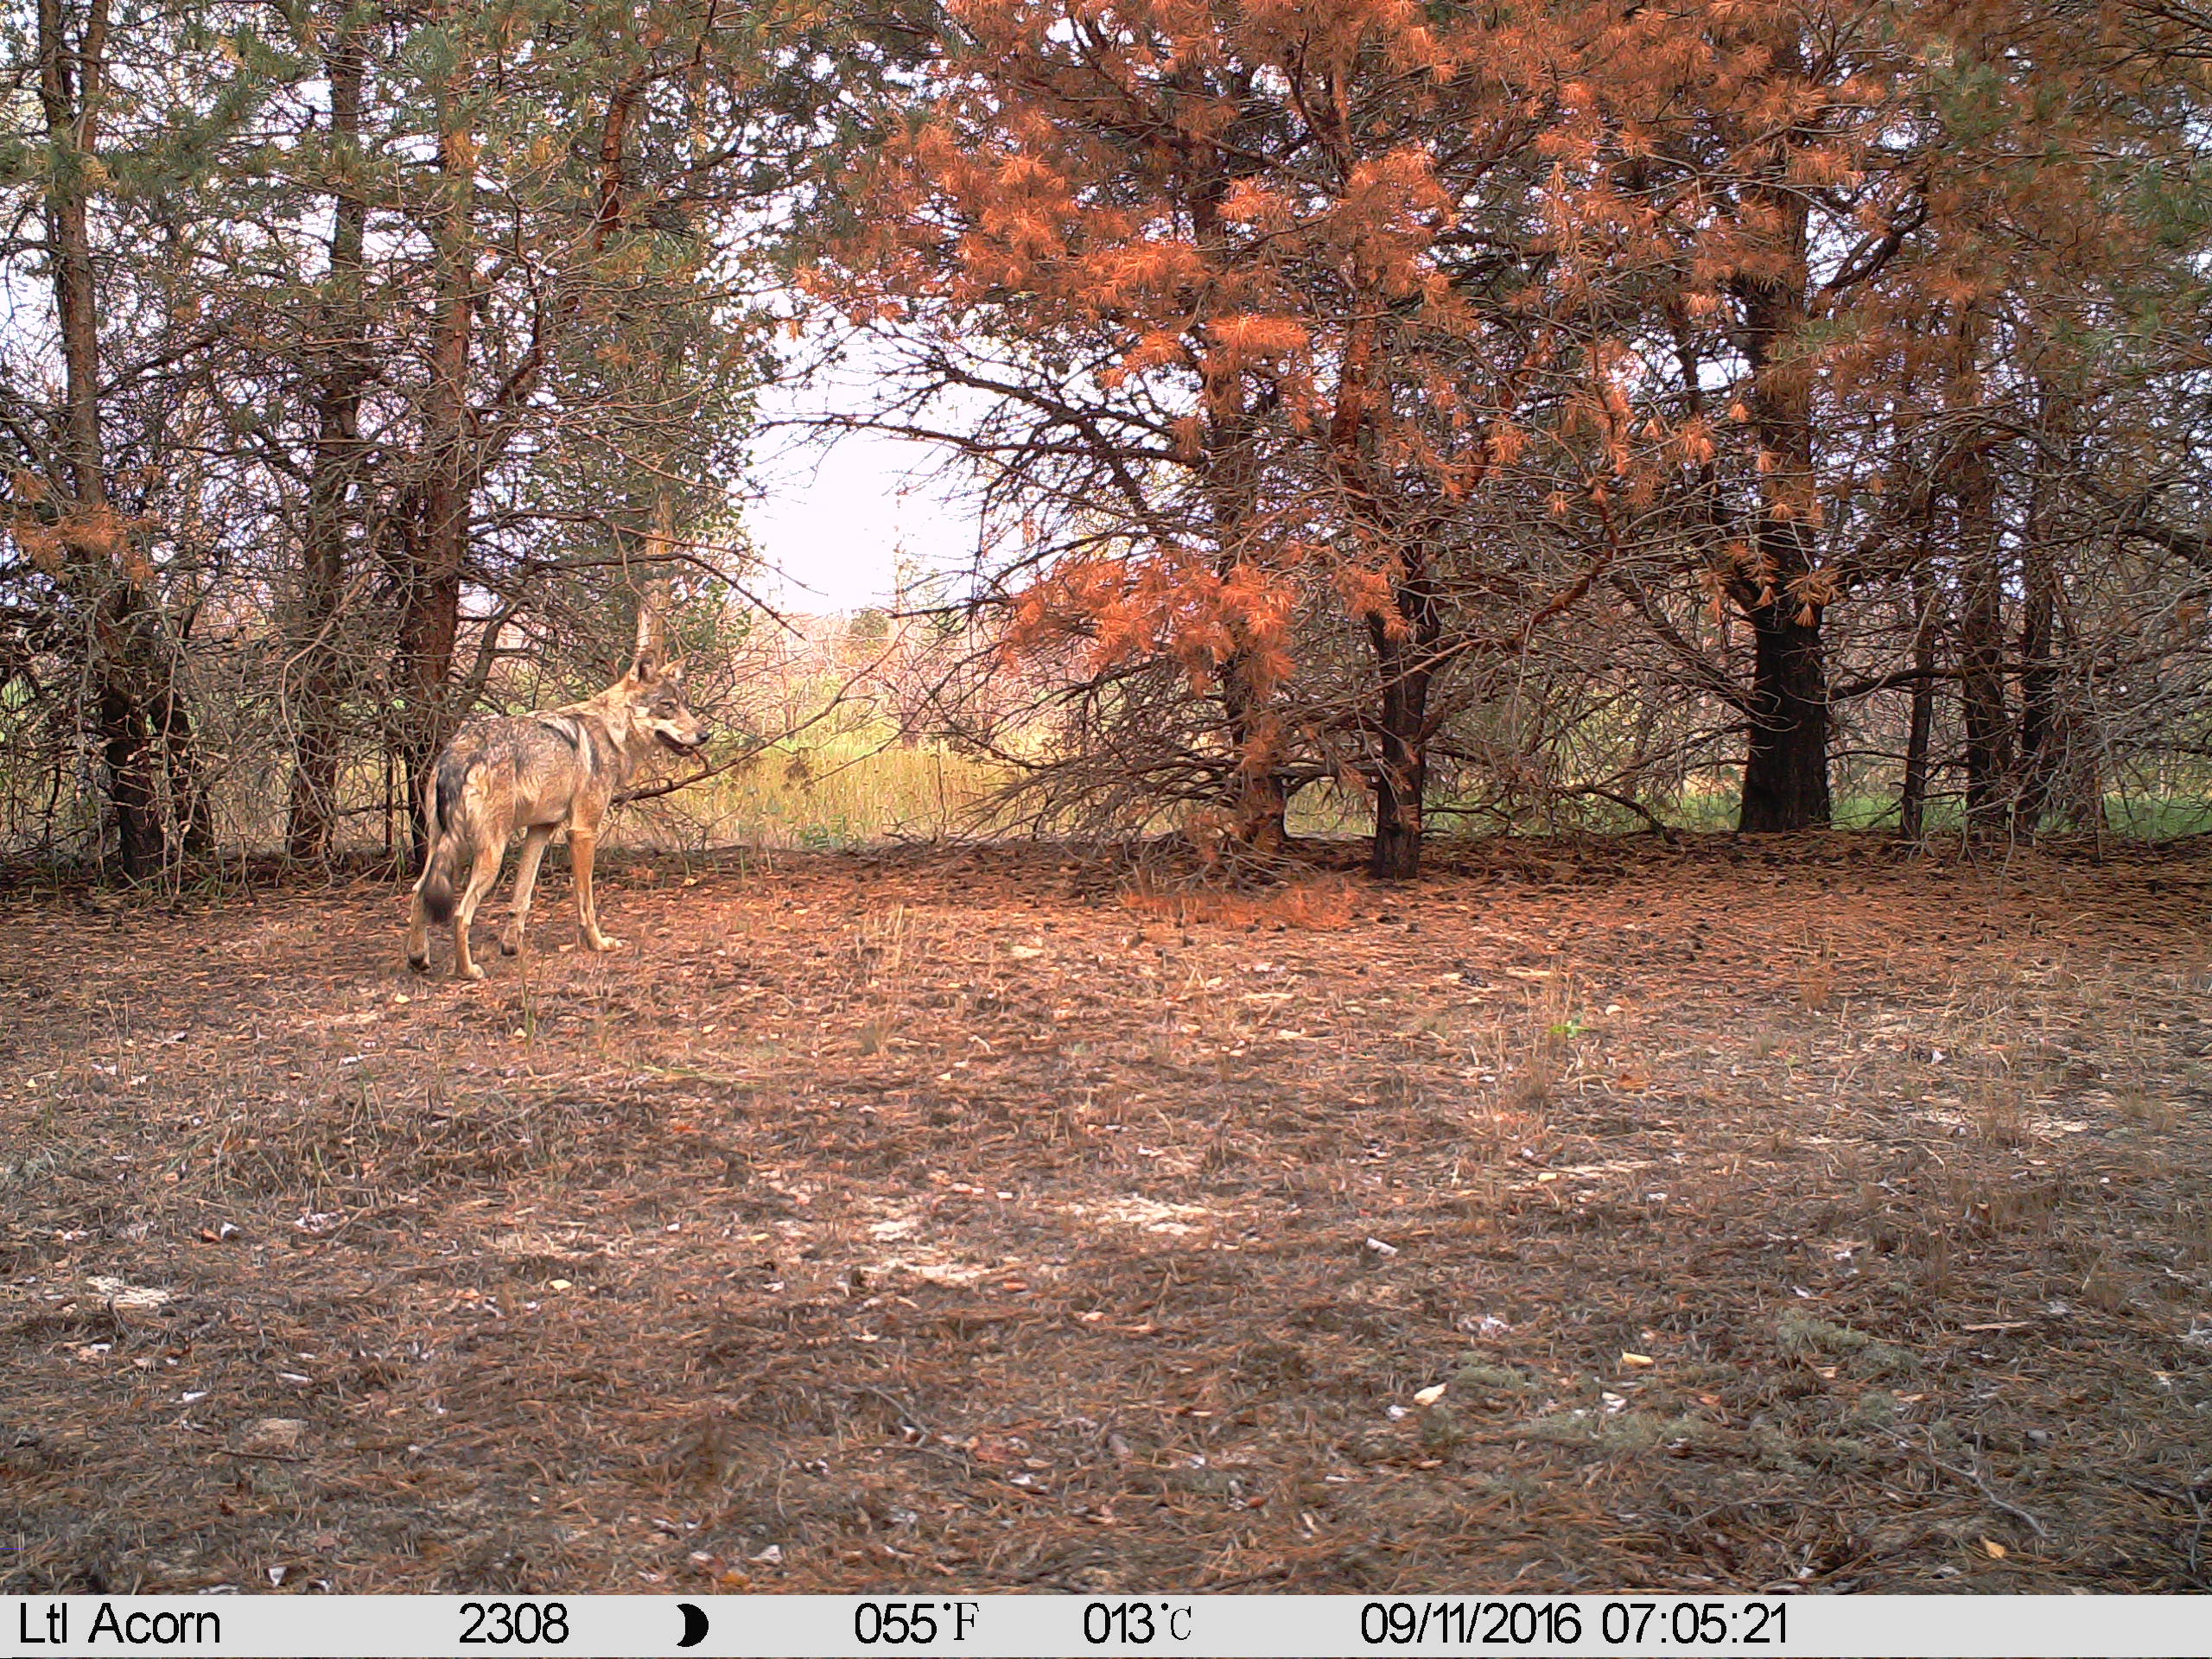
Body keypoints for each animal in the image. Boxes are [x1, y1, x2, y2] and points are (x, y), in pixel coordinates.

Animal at [402, 606, 703, 973]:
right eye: (668, 706)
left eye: (684, 705)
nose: (704, 735)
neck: (611, 731)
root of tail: (460, 750)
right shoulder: (583, 831)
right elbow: (586, 900)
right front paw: (598, 943)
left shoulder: (541, 829)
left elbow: (521, 898)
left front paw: (511, 946)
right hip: (489, 853)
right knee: (461, 912)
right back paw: (468, 971)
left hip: (446, 848)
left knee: (419, 892)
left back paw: (418, 958)